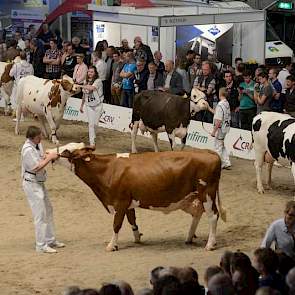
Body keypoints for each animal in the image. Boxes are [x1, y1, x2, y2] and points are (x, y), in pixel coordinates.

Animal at [47, 143, 227, 252]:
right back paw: (189, 238)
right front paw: (137, 237)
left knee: (213, 216)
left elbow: (116, 225)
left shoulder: (120, 202)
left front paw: (112, 245)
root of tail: (209, 152)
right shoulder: (128, 202)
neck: (107, 169)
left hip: (207, 192)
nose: (48, 152)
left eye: (66, 151)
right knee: (197, 214)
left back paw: (210, 244)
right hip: (191, 197)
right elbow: (132, 220)